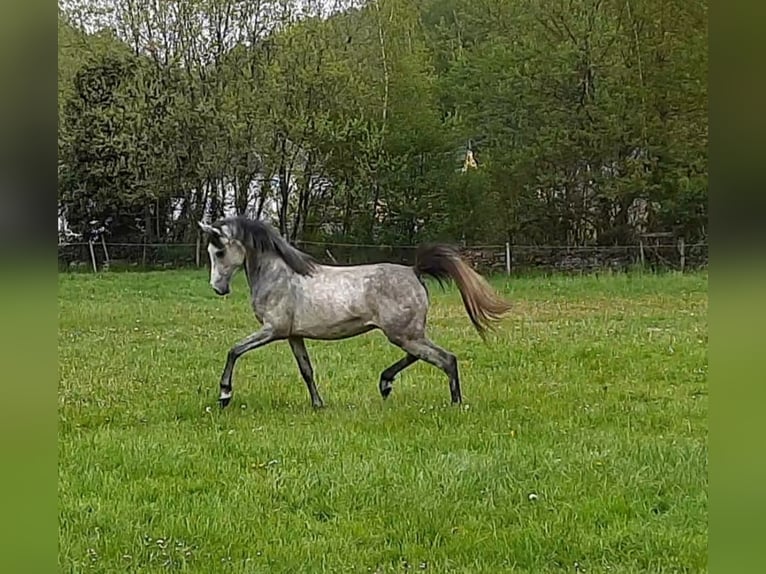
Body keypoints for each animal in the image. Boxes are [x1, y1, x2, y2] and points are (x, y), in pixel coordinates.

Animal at [198, 216, 512, 410]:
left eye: (220, 252)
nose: (218, 288)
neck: (279, 275)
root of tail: (414, 271)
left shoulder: (272, 330)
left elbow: (234, 350)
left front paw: (224, 394)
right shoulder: (293, 335)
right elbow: (306, 370)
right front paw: (318, 404)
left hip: (404, 334)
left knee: (446, 359)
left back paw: (454, 403)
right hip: (407, 334)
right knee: (421, 356)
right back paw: (385, 383)